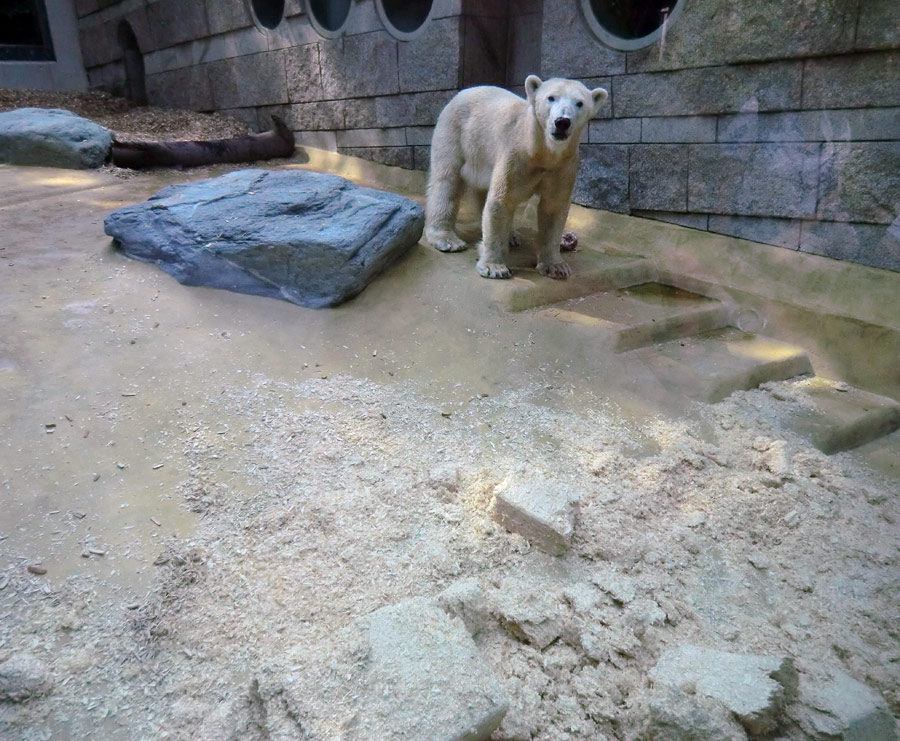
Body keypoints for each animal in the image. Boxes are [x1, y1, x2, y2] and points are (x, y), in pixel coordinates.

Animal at [424, 76, 608, 278]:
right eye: (551, 97)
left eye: (580, 103)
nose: (562, 122)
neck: (540, 151)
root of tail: (460, 93)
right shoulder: (516, 156)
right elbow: (502, 201)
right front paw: (494, 267)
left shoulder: (562, 167)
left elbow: (553, 207)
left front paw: (556, 266)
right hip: (455, 133)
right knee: (446, 181)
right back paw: (447, 239)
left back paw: (512, 236)